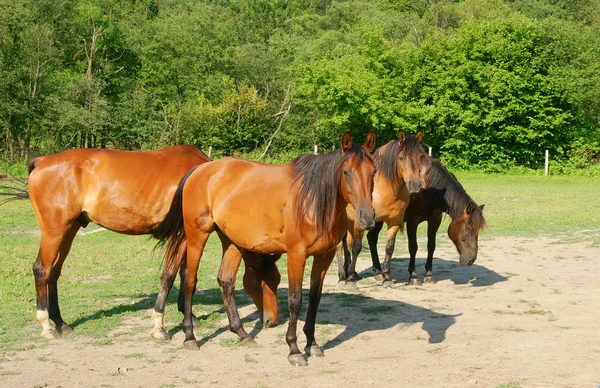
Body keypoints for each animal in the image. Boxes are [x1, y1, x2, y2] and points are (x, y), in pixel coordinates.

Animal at [18, 145, 278, 340]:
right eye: (264, 281)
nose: (271, 321)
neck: (206, 182)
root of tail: (43, 161)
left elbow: (184, 274)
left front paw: (189, 316)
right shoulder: (180, 236)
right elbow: (170, 276)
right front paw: (159, 326)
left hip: (68, 230)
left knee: (53, 272)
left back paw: (60, 322)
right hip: (54, 232)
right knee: (42, 269)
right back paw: (47, 326)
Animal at [154, 132, 376, 366]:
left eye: (373, 172)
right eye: (346, 172)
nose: (367, 216)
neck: (312, 201)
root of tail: (199, 170)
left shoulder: (325, 256)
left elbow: (315, 298)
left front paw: (312, 344)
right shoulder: (296, 255)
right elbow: (295, 300)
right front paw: (294, 349)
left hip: (232, 241)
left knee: (226, 281)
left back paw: (242, 334)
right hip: (197, 236)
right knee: (189, 281)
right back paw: (189, 336)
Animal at [338, 132, 432, 286]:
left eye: (421, 156)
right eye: (401, 157)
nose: (414, 185)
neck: (383, 188)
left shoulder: (394, 222)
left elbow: (389, 247)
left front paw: (387, 278)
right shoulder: (360, 222)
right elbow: (356, 247)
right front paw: (350, 279)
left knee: (351, 242)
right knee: (341, 245)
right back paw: (342, 276)